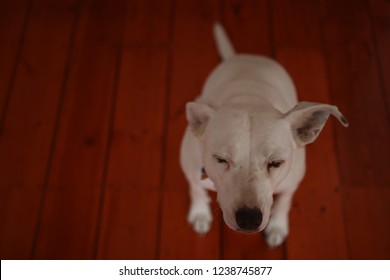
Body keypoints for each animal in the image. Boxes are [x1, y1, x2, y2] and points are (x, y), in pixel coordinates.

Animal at [180, 24, 348, 247]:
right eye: (221, 160)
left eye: (276, 163)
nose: (249, 219)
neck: (249, 97)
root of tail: (246, 57)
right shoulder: (191, 171)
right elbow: (196, 189)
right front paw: (200, 213)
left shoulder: (292, 182)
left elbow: (285, 201)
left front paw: (277, 226)